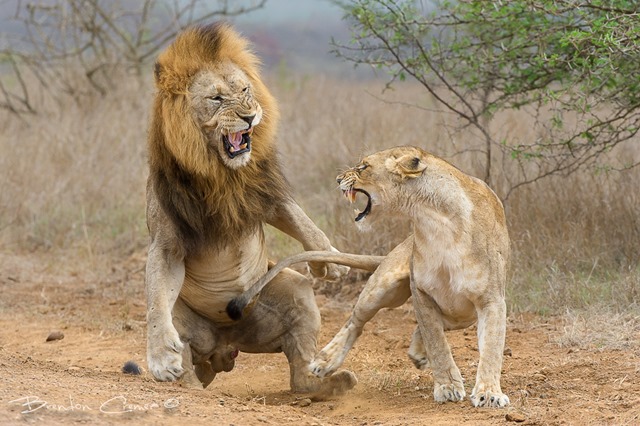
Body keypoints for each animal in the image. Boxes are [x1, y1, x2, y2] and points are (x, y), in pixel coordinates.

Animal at [144, 22, 356, 395]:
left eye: (244, 90)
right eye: (216, 98)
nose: (249, 115)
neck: (223, 175)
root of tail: (224, 345)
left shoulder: (264, 197)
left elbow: (305, 224)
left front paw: (330, 261)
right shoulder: (167, 242)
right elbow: (156, 302)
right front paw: (159, 357)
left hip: (292, 293)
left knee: (300, 375)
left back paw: (330, 384)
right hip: (186, 324)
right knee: (185, 357)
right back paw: (188, 384)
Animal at [229, 145, 510, 407]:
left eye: (363, 167)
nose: (337, 179)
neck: (434, 221)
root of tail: (404, 244)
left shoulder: (491, 299)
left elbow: (491, 348)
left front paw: (488, 394)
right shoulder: (421, 292)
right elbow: (437, 343)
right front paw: (448, 387)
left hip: (461, 314)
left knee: (433, 326)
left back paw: (418, 353)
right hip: (383, 288)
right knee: (356, 322)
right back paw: (324, 361)